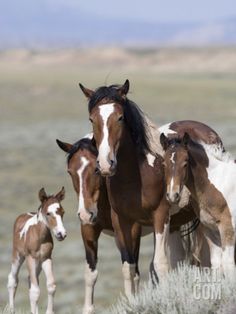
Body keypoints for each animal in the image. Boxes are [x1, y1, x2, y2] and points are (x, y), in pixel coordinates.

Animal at [7, 186, 66, 314]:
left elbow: (50, 286)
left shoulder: (46, 258)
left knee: (31, 280)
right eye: (48, 213)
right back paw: (11, 310)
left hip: (38, 263)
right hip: (18, 255)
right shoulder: (30, 258)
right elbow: (35, 291)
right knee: (13, 279)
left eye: (62, 212)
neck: (39, 237)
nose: (61, 234)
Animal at [160, 133, 236, 274]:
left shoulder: (228, 228)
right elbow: (216, 264)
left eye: (185, 163)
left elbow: (228, 265)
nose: (173, 196)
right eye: (163, 164)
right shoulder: (210, 230)